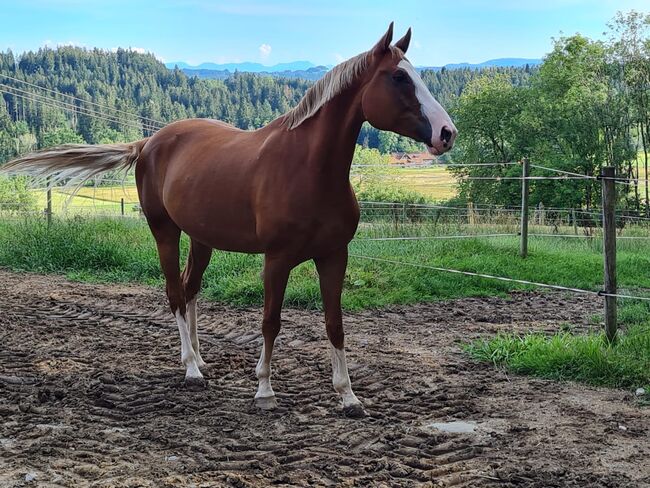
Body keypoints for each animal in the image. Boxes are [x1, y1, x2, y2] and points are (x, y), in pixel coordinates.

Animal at [3, 23, 456, 416]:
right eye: (399, 78)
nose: (447, 133)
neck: (308, 170)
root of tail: (149, 142)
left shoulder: (334, 257)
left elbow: (335, 324)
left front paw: (348, 397)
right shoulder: (276, 259)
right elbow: (270, 321)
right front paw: (264, 391)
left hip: (201, 238)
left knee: (190, 290)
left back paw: (199, 360)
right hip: (164, 232)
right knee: (174, 293)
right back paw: (190, 369)